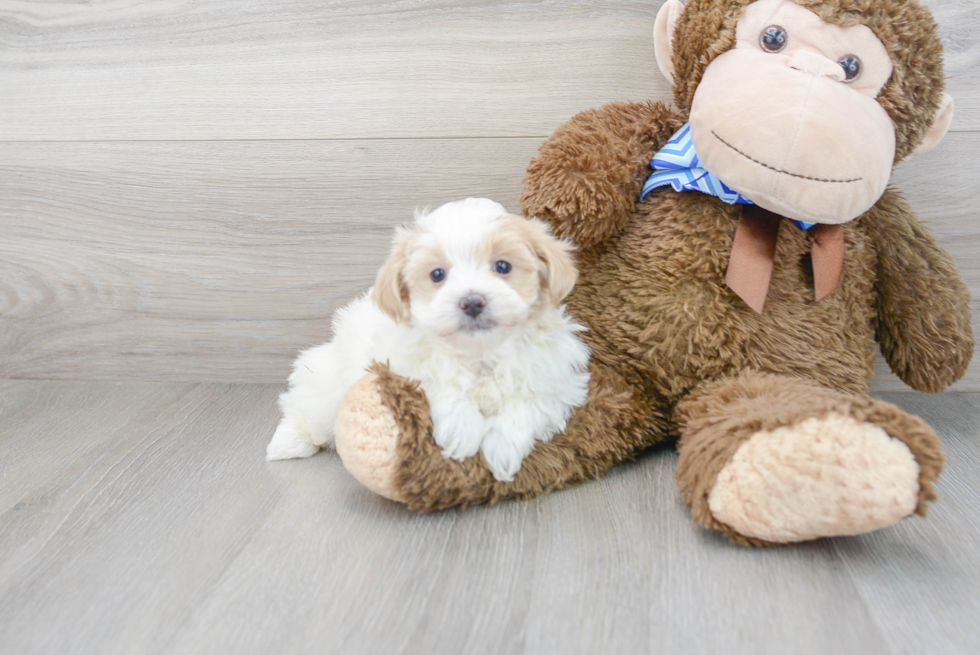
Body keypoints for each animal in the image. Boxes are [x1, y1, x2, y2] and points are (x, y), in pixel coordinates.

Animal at [266, 199, 588, 482]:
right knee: (302, 408)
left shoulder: (554, 382)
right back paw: (287, 442)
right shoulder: (398, 365)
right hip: (326, 383)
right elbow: (439, 384)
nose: (472, 302)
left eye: (503, 267)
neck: (479, 353)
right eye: (437, 274)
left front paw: (502, 451)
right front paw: (462, 432)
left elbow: (525, 406)